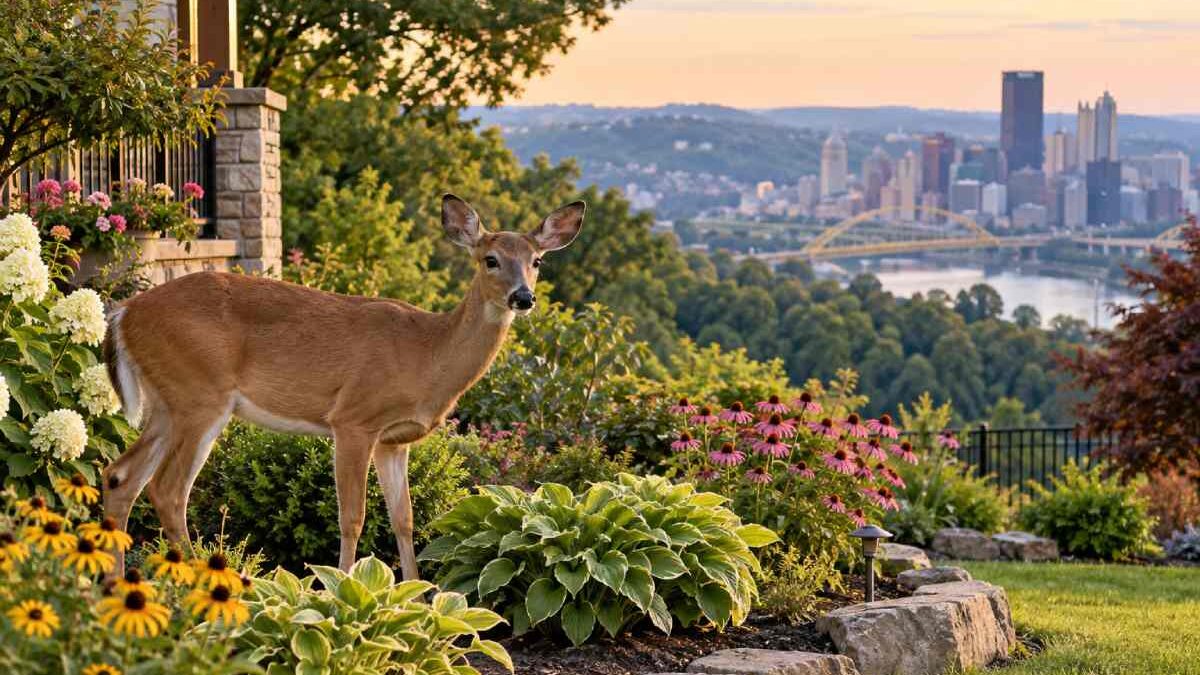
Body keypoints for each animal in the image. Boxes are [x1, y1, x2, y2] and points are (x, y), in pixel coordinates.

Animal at [100, 194, 585, 580]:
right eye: (490, 259)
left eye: (537, 262)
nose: (523, 297)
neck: (427, 355)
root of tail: (124, 313)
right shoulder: (353, 420)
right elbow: (353, 516)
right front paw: (344, 588)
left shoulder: (394, 440)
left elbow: (404, 518)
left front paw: (417, 596)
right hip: (200, 395)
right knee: (168, 490)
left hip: (167, 402)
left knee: (120, 477)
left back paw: (116, 585)